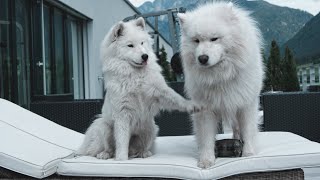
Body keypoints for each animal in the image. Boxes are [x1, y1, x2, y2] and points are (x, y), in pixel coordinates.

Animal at [77, 17, 200, 160]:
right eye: (130, 45)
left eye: (142, 43)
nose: (145, 56)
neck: (136, 75)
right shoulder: (122, 114)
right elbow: (121, 141)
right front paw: (121, 159)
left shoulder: (158, 92)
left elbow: (176, 98)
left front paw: (191, 105)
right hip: (103, 126)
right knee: (109, 148)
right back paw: (105, 154)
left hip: (150, 128)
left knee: (140, 147)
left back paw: (143, 153)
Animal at [178, 1, 264, 168]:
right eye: (196, 41)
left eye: (214, 39)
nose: (202, 58)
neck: (221, 76)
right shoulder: (205, 109)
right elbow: (206, 137)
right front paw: (206, 159)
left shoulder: (246, 103)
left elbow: (248, 130)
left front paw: (248, 153)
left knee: (237, 128)